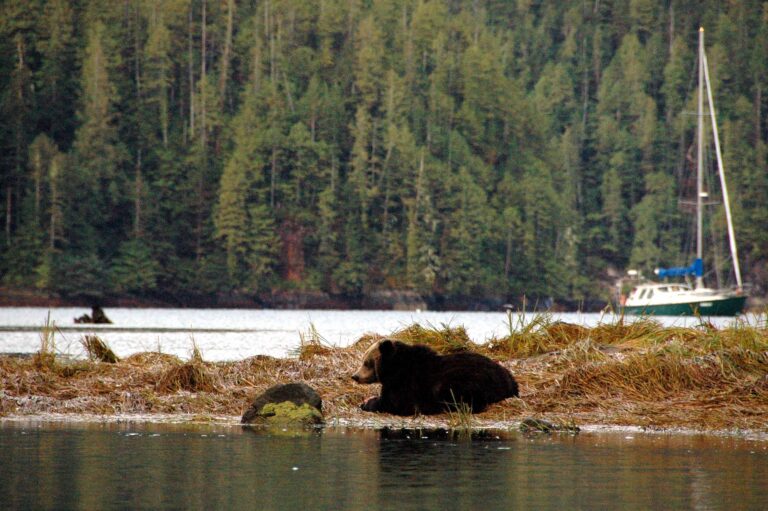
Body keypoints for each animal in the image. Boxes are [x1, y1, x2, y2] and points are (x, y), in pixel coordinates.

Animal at [351, 339, 519, 416]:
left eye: (366, 362)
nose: (355, 376)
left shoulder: (408, 382)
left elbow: (395, 403)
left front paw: (368, 403)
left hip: (468, 380)